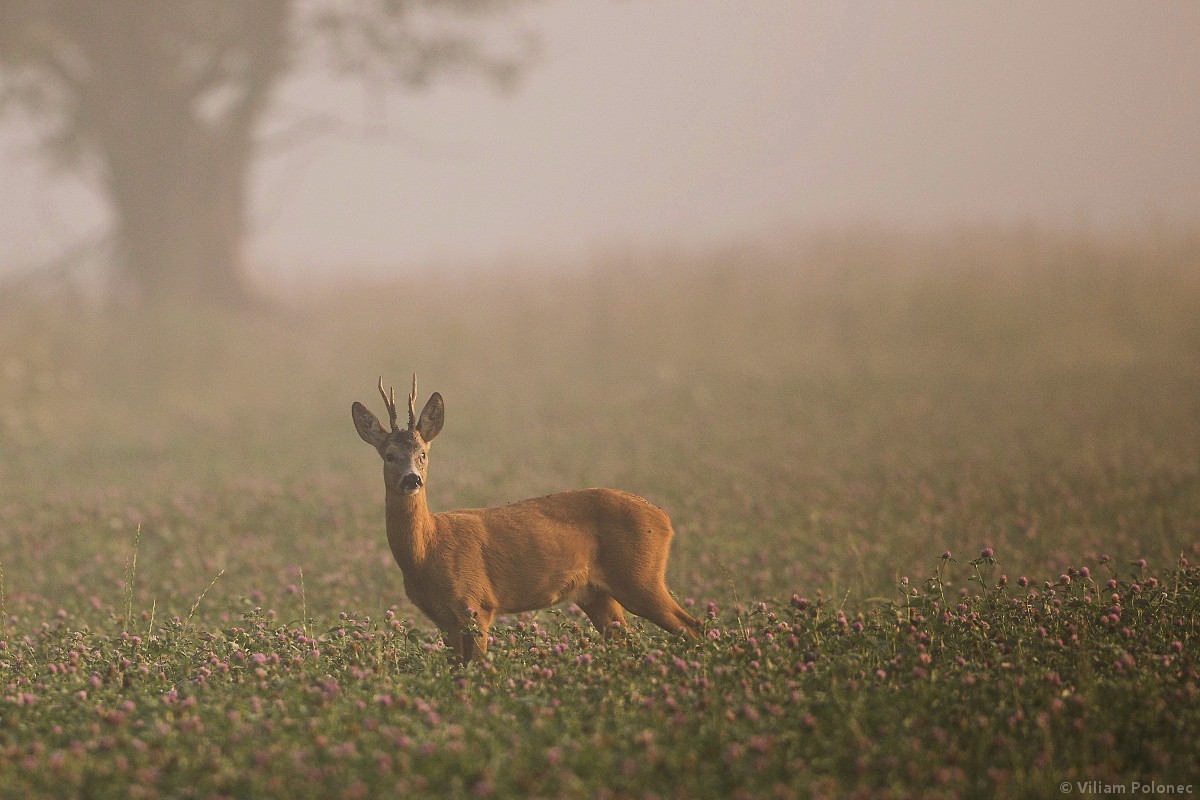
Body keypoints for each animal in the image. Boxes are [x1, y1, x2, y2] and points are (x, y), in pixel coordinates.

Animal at [350, 376, 700, 662]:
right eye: (389, 456)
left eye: (423, 453)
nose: (412, 479)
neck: (426, 552)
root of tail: (665, 519)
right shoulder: (443, 619)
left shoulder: (477, 604)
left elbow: (478, 669)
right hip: (597, 594)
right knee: (630, 639)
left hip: (640, 576)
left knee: (690, 625)